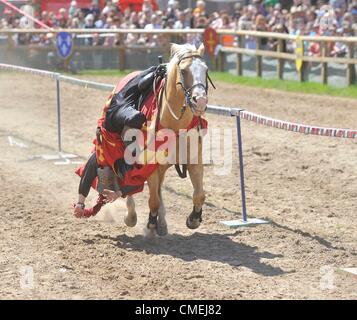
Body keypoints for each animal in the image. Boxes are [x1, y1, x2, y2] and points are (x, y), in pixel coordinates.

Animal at [124, 43, 210, 238]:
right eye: (184, 71)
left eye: (206, 70)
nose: (200, 101)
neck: (175, 125)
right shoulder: (150, 165)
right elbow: (153, 200)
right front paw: (150, 225)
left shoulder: (194, 161)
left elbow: (199, 194)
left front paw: (193, 219)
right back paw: (131, 216)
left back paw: (162, 223)